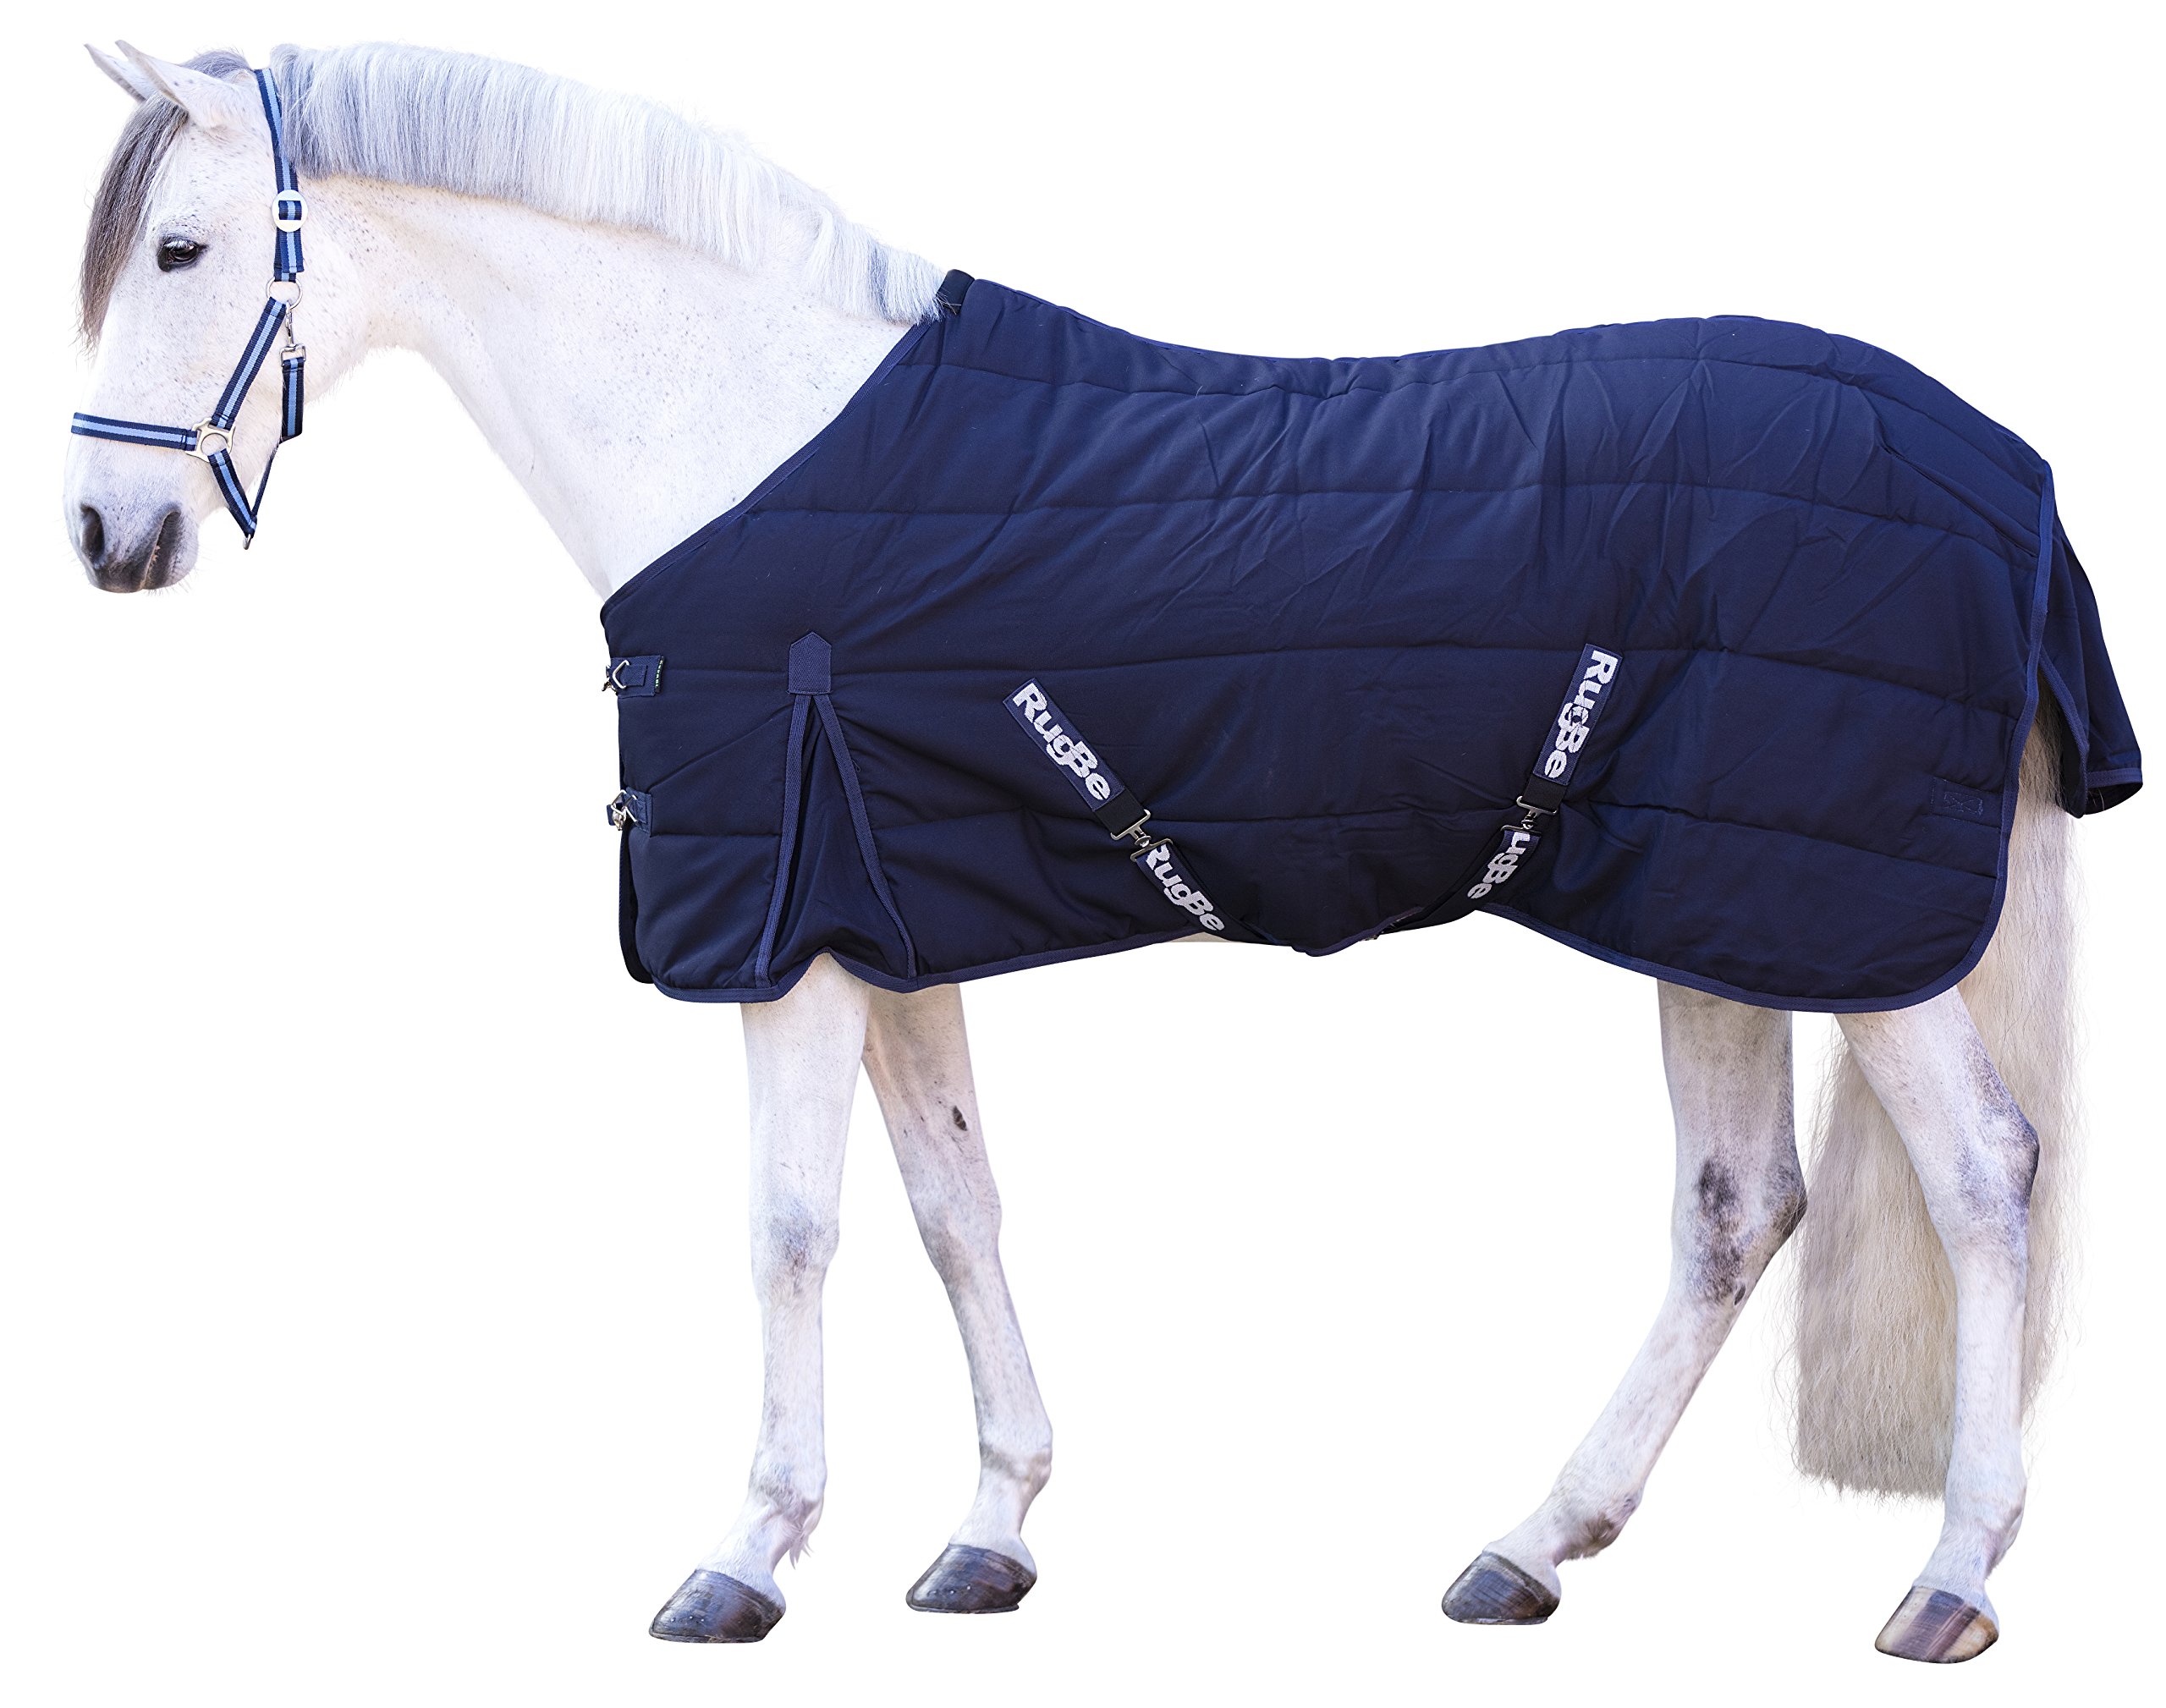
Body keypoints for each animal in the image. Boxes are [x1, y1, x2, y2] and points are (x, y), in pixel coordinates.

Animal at [61, 40, 2129, 1665]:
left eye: (180, 249)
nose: (102, 535)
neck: (744, 430)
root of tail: (2002, 469)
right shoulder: (888, 928)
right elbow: (954, 1206)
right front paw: (988, 1531)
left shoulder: (788, 943)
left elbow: (791, 1227)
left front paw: (745, 1557)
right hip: (1715, 912)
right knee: (1733, 1210)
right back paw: (1528, 1547)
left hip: (1838, 927)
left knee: (1980, 1176)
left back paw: (1948, 1580)